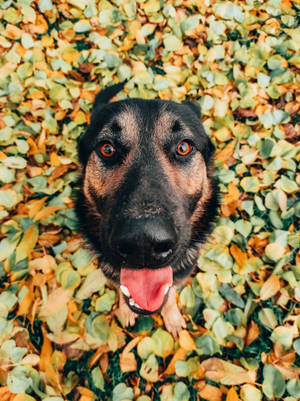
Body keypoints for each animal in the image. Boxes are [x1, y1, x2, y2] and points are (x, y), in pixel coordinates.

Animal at [76, 83, 219, 336]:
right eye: (107, 149)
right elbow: (122, 289)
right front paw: (125, 311)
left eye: (183, 147)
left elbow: (169, 294)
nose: (143, 244)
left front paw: (172, 317)